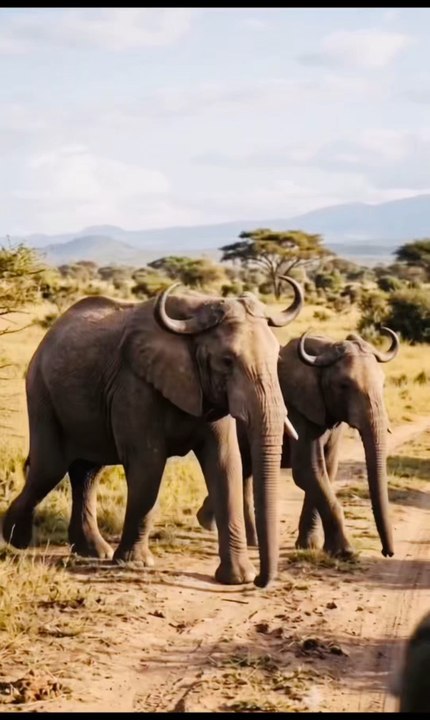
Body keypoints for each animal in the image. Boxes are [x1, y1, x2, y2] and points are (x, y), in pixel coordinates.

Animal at [3, 277, 304, 588]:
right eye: (227, 361)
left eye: (277, 358)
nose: (261, 581)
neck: (195, 319)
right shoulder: (134, 384)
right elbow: (148, 465)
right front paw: (134, 563)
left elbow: (225, 465)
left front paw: (238, 578)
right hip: (40, 391)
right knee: (48, 469)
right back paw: (17, 540)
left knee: (86, 474)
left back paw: (92, 551)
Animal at [196, 327, 399, 559]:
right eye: (344, 385)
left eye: (383, 384)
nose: (387, 552)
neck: (324, 351)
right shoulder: (297, 409)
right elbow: (307, 471)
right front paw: (344, 552)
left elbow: (326, 471)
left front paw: (308, 546)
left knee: (244, 471)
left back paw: (230, 531)